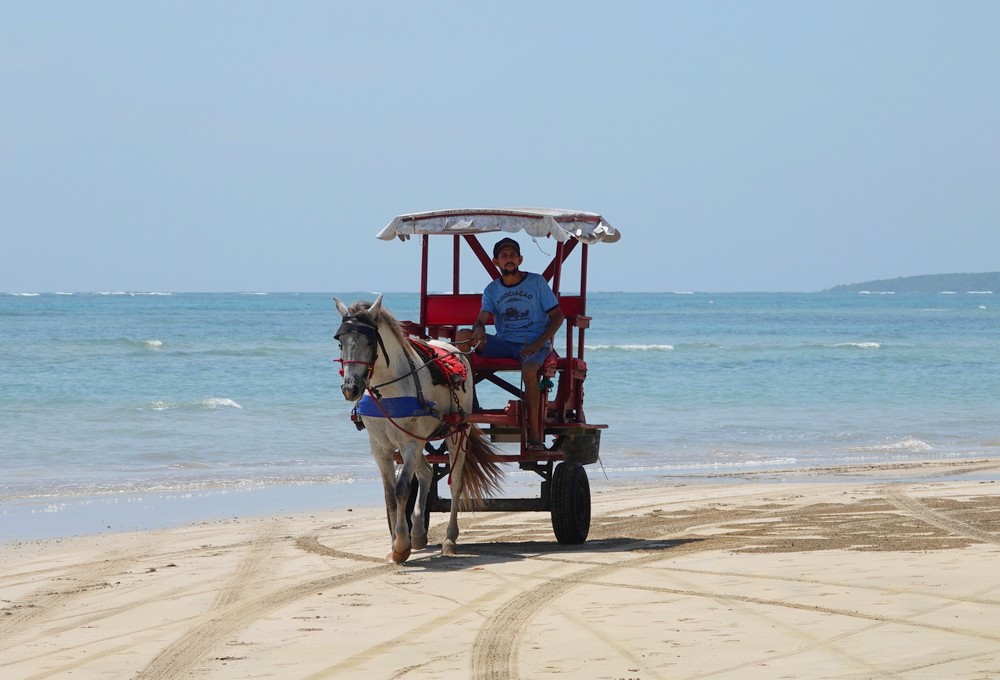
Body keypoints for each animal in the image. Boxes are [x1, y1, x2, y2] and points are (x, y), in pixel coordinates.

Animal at [333, 295, 504, 563]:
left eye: (369, 341)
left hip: (457, 433)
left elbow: (402, 489)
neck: (389, 390)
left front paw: (401, 545)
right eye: (340, 341)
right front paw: (396, 542)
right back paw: (420, 534)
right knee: (426, 473)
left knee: (455, 482)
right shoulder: (380, 448)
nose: (350, 388)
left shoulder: (411, 444)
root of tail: (455, 350)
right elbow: (390, 494)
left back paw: (449, 539)